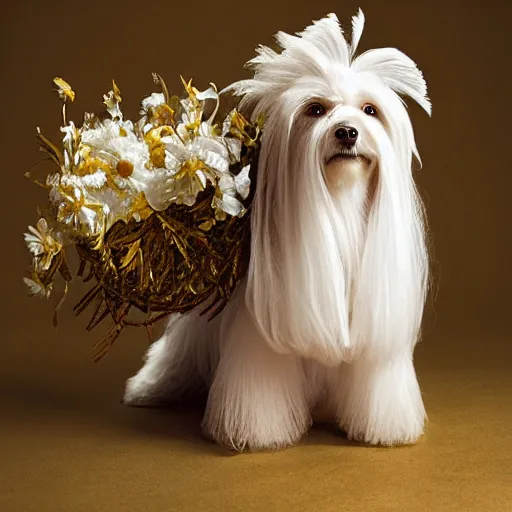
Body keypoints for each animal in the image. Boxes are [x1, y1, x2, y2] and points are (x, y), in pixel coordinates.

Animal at [123, 11, 432, 452]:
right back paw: (148, 390)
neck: (338, 201)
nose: (347, 131)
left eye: (370, 110)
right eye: (316, 109)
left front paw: (381, 430)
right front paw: (256, 434)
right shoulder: (258, 329)